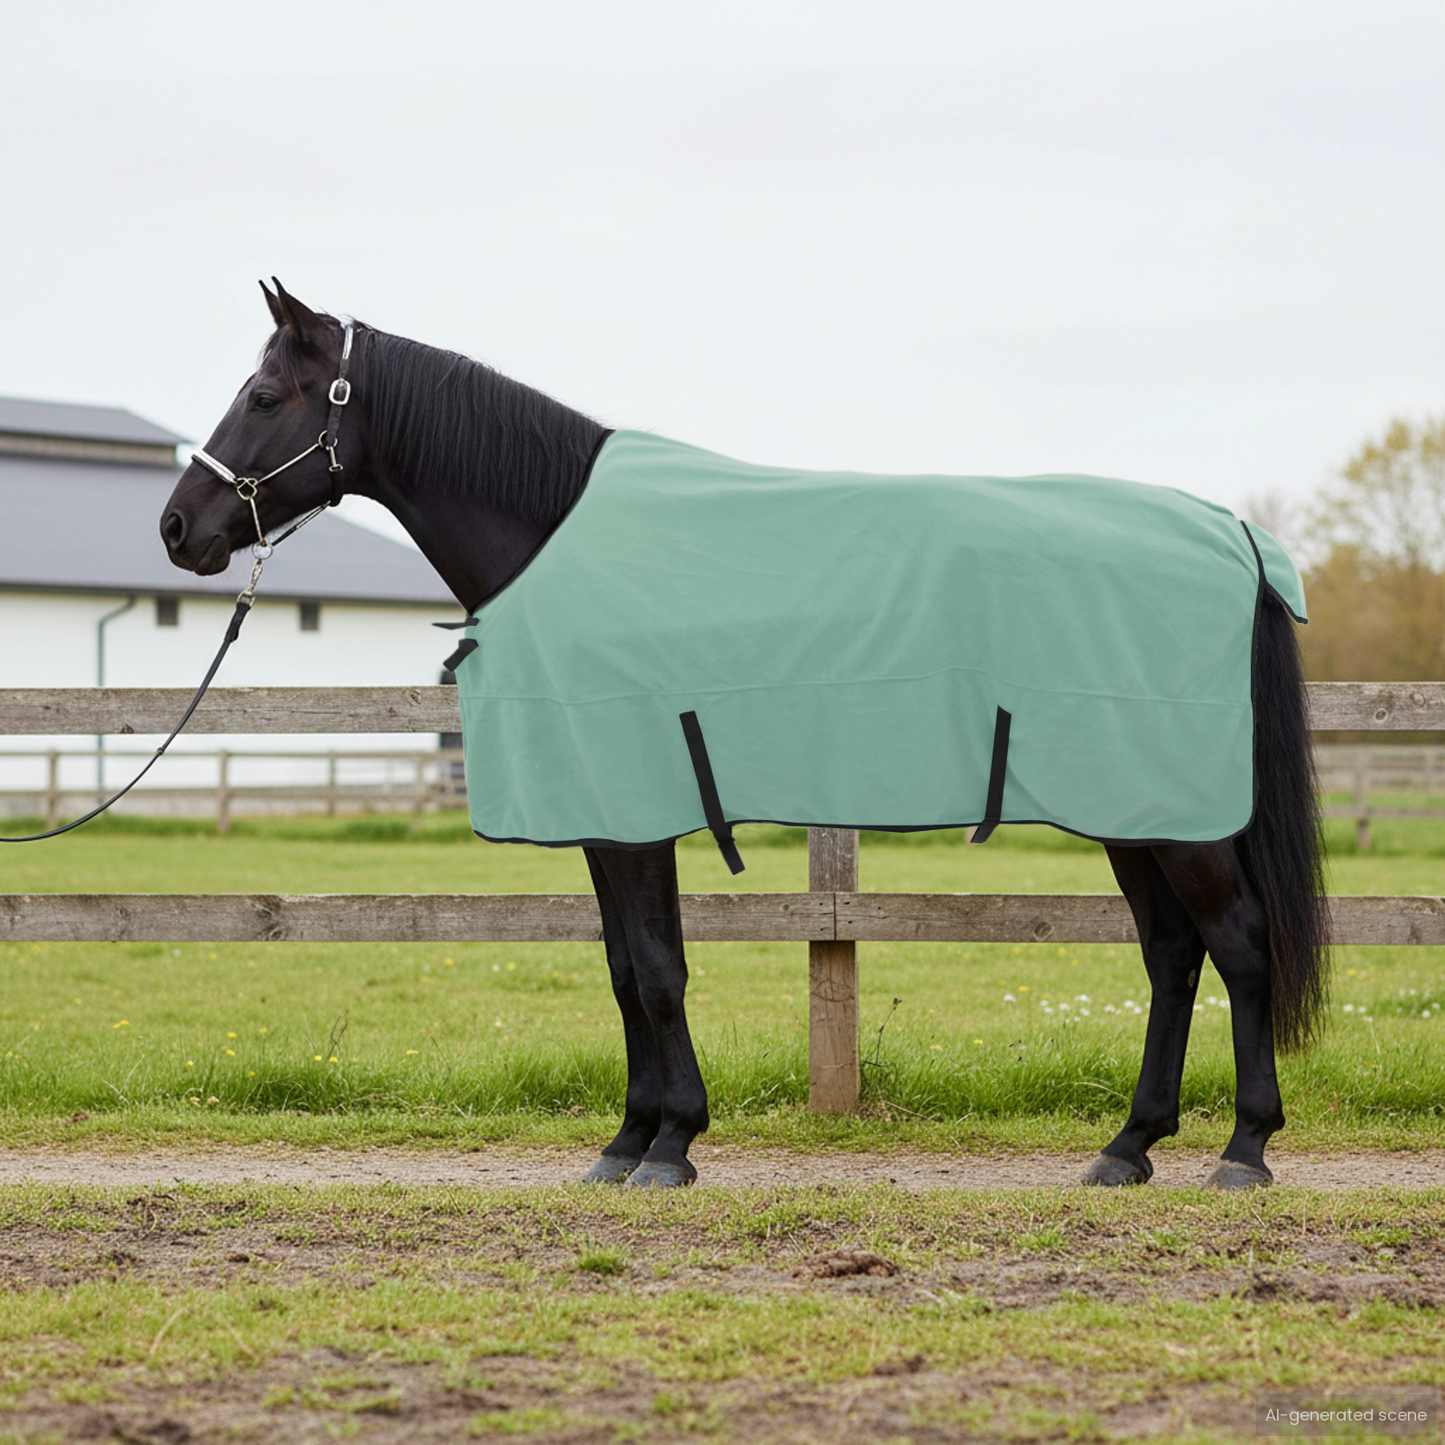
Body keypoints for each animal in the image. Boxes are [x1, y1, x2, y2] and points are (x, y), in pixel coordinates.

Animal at [159, 280, 1329, 1190]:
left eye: (263, 396)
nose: (178, 528)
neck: (562, 541)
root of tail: (1228, 533)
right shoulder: (606, 817)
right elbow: (625, 968)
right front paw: (629, 1139)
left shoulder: (632, 814)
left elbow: (657, 970)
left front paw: (670, 1143)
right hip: (1132, 809)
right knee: (1172, 953)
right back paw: (1127, 1147)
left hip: (1174, 816)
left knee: (1238, 944)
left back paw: (1242, 1149)